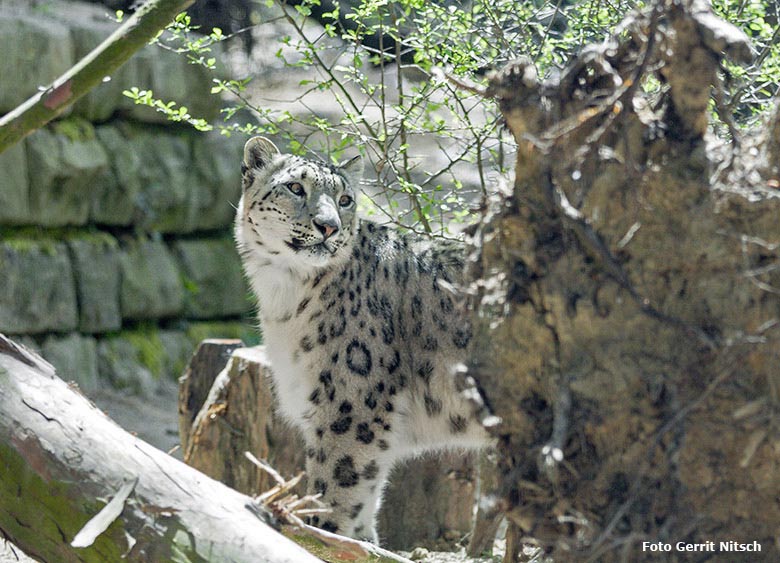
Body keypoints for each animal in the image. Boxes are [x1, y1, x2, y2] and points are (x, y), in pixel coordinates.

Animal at [235, 135, 488, 540]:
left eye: (344, 199)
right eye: (295, 188)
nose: (328, 226)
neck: (283, 294)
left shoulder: (350, 405)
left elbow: (337, 486)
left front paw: (321, 530)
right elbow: (362, 503)